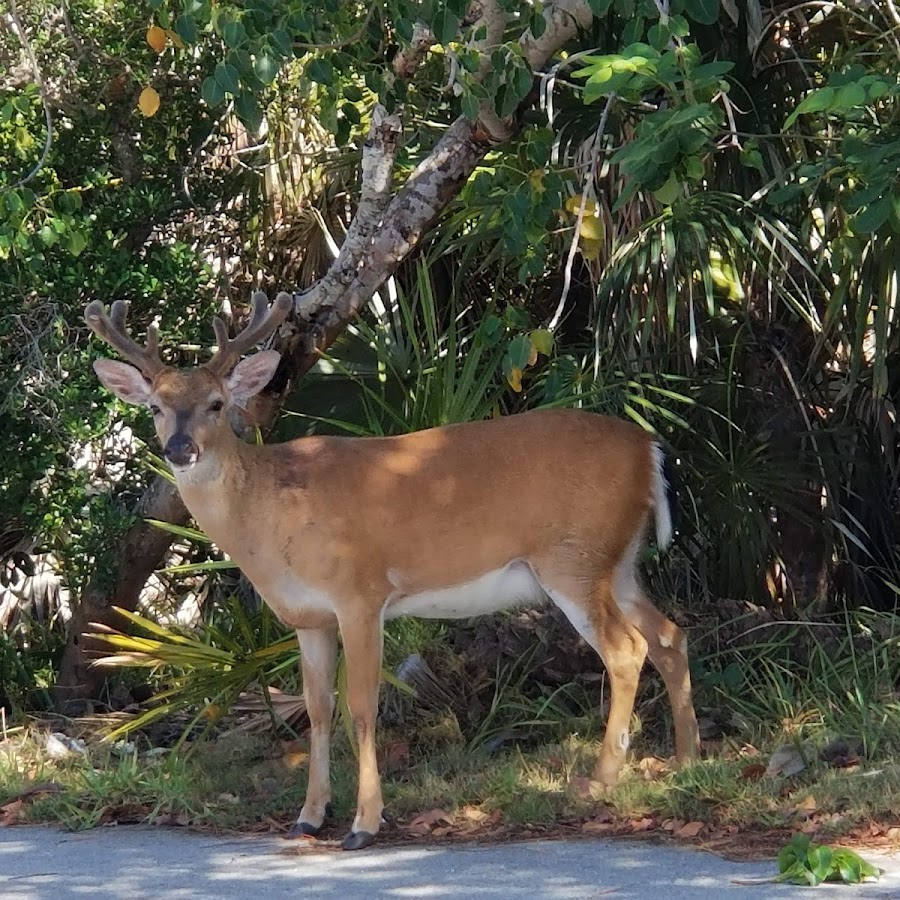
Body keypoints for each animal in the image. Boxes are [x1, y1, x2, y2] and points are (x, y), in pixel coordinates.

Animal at [86, 290, 704, 852]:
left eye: (217, 403)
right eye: (155, 407)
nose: (180, 449)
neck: (271, 517)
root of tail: (649, 447)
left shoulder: (360, 592)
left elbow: (361, 707)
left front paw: (364, 825)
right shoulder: (308, 618)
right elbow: (316, 710)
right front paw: (309, 817)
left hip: (573, 558)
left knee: (626, 649)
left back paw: (600, 782)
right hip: (618, 563)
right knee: (670, 634)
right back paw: (687, 761)